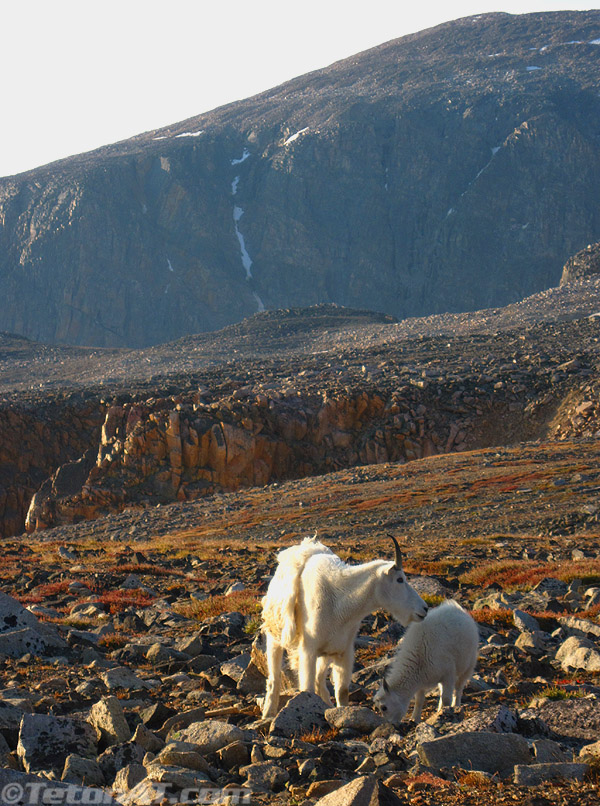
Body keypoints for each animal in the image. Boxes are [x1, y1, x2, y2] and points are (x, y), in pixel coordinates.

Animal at [260, 536, 428, 720]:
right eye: (400, 579)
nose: (424, 609)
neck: (340, 600)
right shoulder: (308, 650)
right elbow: (307, 689)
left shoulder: (343, 651)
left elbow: (342, 691)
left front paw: (342, 713)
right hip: (275, 638)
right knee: (274, 678)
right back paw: (268, 713)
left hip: (326, 653)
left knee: (320, 680)